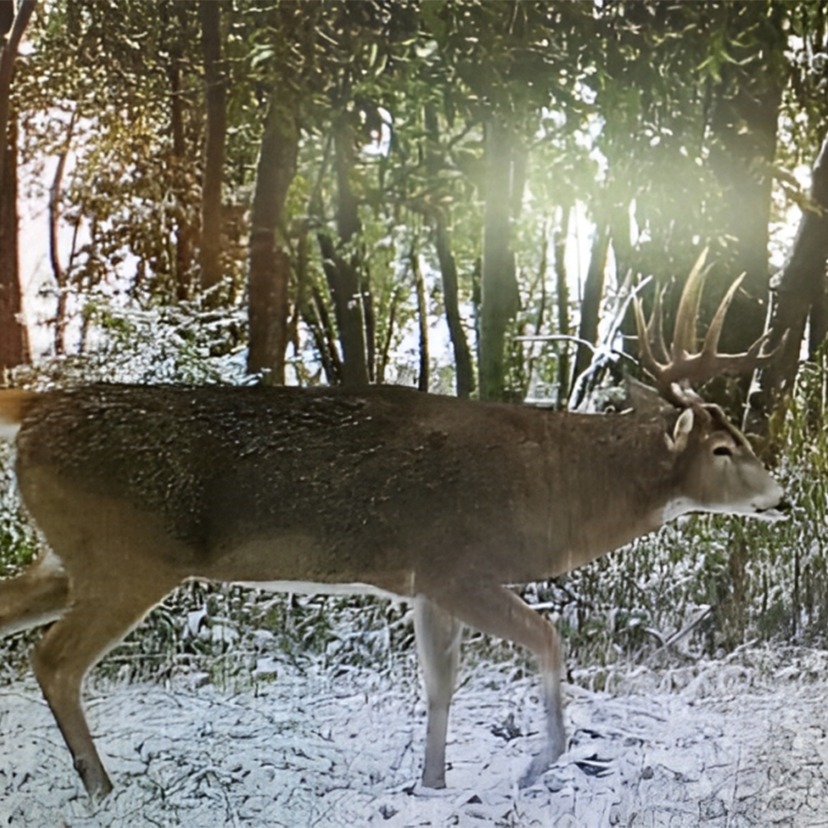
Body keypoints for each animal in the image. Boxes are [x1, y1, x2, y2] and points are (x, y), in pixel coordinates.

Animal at [0, 263, 786, 799]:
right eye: (725, 448)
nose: (780, 497)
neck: (550, 491)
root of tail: (35, 409)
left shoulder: (425, 584)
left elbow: (440, 685)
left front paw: (433, 784)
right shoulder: (457, 564)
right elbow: (546, 639)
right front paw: (537, 765)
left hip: (71, 556)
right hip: (128, 555)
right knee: (55, 660)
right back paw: (101, 787)